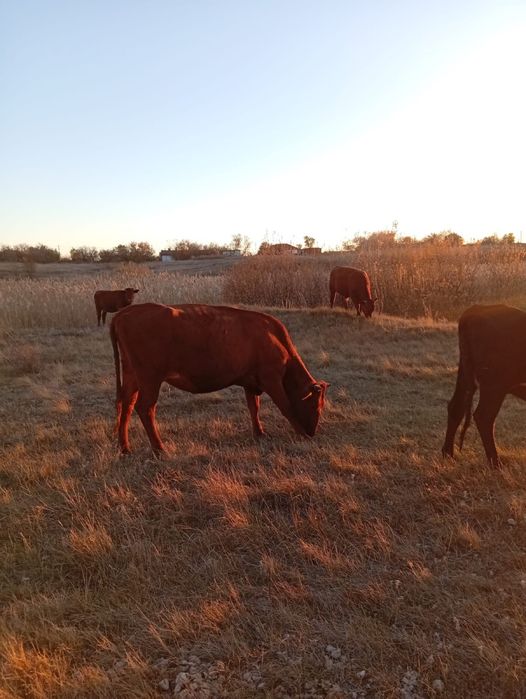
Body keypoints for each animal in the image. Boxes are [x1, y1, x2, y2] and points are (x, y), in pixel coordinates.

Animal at [110, 303, 329, 454]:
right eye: (315, 405)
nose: (312, 432)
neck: (273, 337)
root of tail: (126, 312)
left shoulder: (250, 382)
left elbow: (254, 408)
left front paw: (259, 433)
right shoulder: (271, 379)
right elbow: (286, 407)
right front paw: (301, 434)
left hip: (132, 376)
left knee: (126, 405)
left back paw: (125, 448)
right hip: (150, 379)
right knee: (145, 408)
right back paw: (159, 449)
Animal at [442, 304, 526, 468]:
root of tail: (477, 310)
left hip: (465, 376)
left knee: (456, 407)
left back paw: (448, 454)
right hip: (494, 386)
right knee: (484, 416)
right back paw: (496, 463)